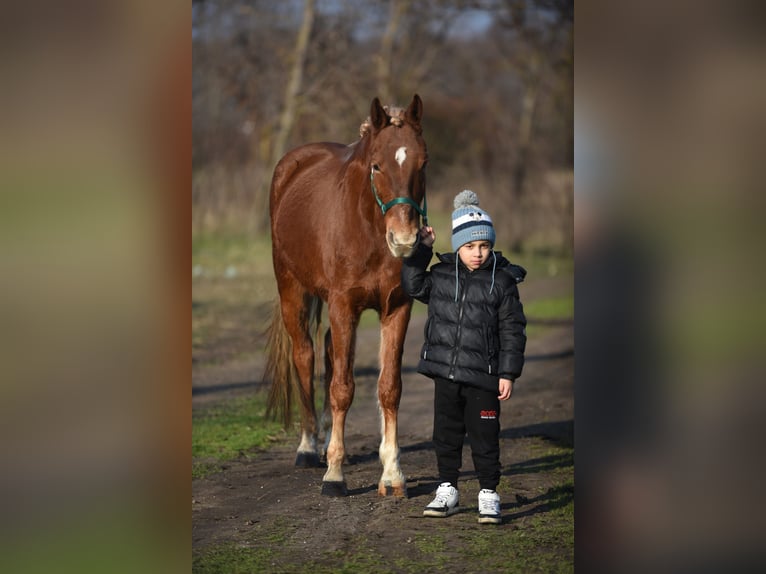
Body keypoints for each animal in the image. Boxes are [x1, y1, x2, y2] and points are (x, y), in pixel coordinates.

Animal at [268, 92, 428, 498]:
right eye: (376, 166)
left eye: (423, 163)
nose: (404, 240)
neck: (368, 230)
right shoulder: (343, 305)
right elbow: (342, 387)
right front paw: (334, 474)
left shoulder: (396, 308)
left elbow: (389, 388)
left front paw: (392, 474)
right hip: (293, 291)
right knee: (305, 356)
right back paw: (309, 447)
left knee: (327, 349)